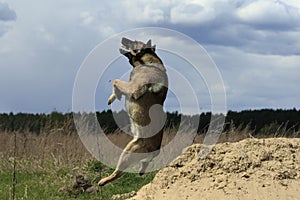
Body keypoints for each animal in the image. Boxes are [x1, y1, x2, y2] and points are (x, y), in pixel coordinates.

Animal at [98, 38, 169, 186]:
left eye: (134, 42)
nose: (122, 38)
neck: (146, 62)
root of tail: (156, 150)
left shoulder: (133, 89)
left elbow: (116, 81)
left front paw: (114, 96)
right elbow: (116, 82)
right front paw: (114, 96)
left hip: (128, 152)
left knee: (118, 172)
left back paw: (104, 180)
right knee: (144, 165)